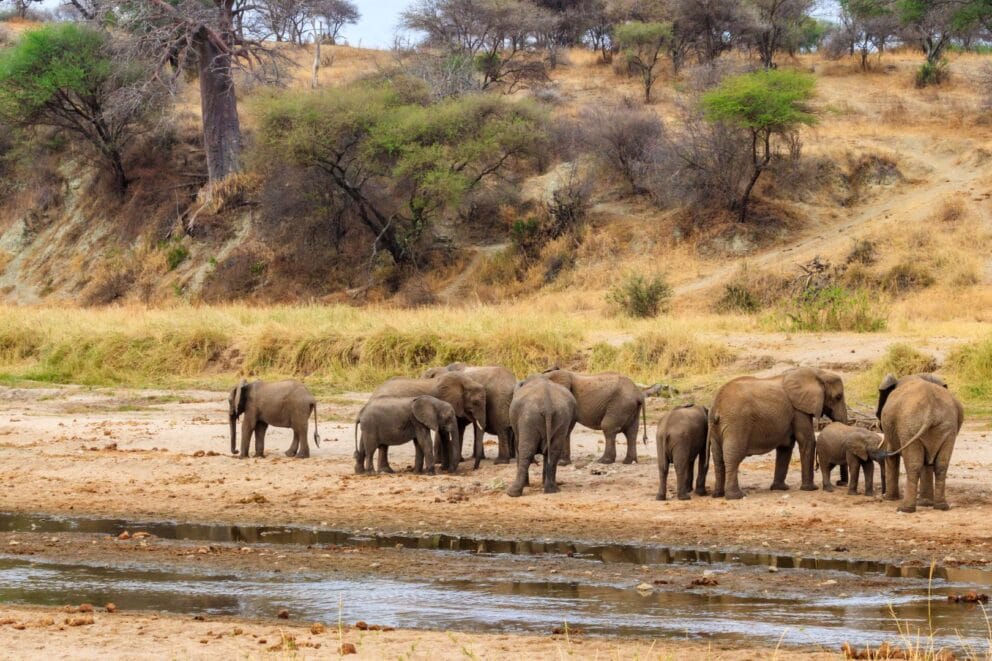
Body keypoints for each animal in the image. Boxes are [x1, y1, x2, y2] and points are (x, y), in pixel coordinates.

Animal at [708, 367, 849, 500]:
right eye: (838, 397)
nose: (840, 483)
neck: (819, 373)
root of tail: (717, 406)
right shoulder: (798, 410)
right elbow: (807, 440)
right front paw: (810, 489)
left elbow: (786, 447)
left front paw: (780, 488)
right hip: (737, 423)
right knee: (733, 456)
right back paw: (736, 496)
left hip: (715, 426)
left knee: (718, 458)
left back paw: (718, 494)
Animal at [876, 373, 964, 513]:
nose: (882, 495)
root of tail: (931, 410)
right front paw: (925, 503)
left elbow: (891, 456)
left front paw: (889, 499)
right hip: (947, 429)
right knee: (941, 465)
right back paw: (941, 507)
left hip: (909, 427)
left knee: (913, 466)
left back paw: (905, 509)